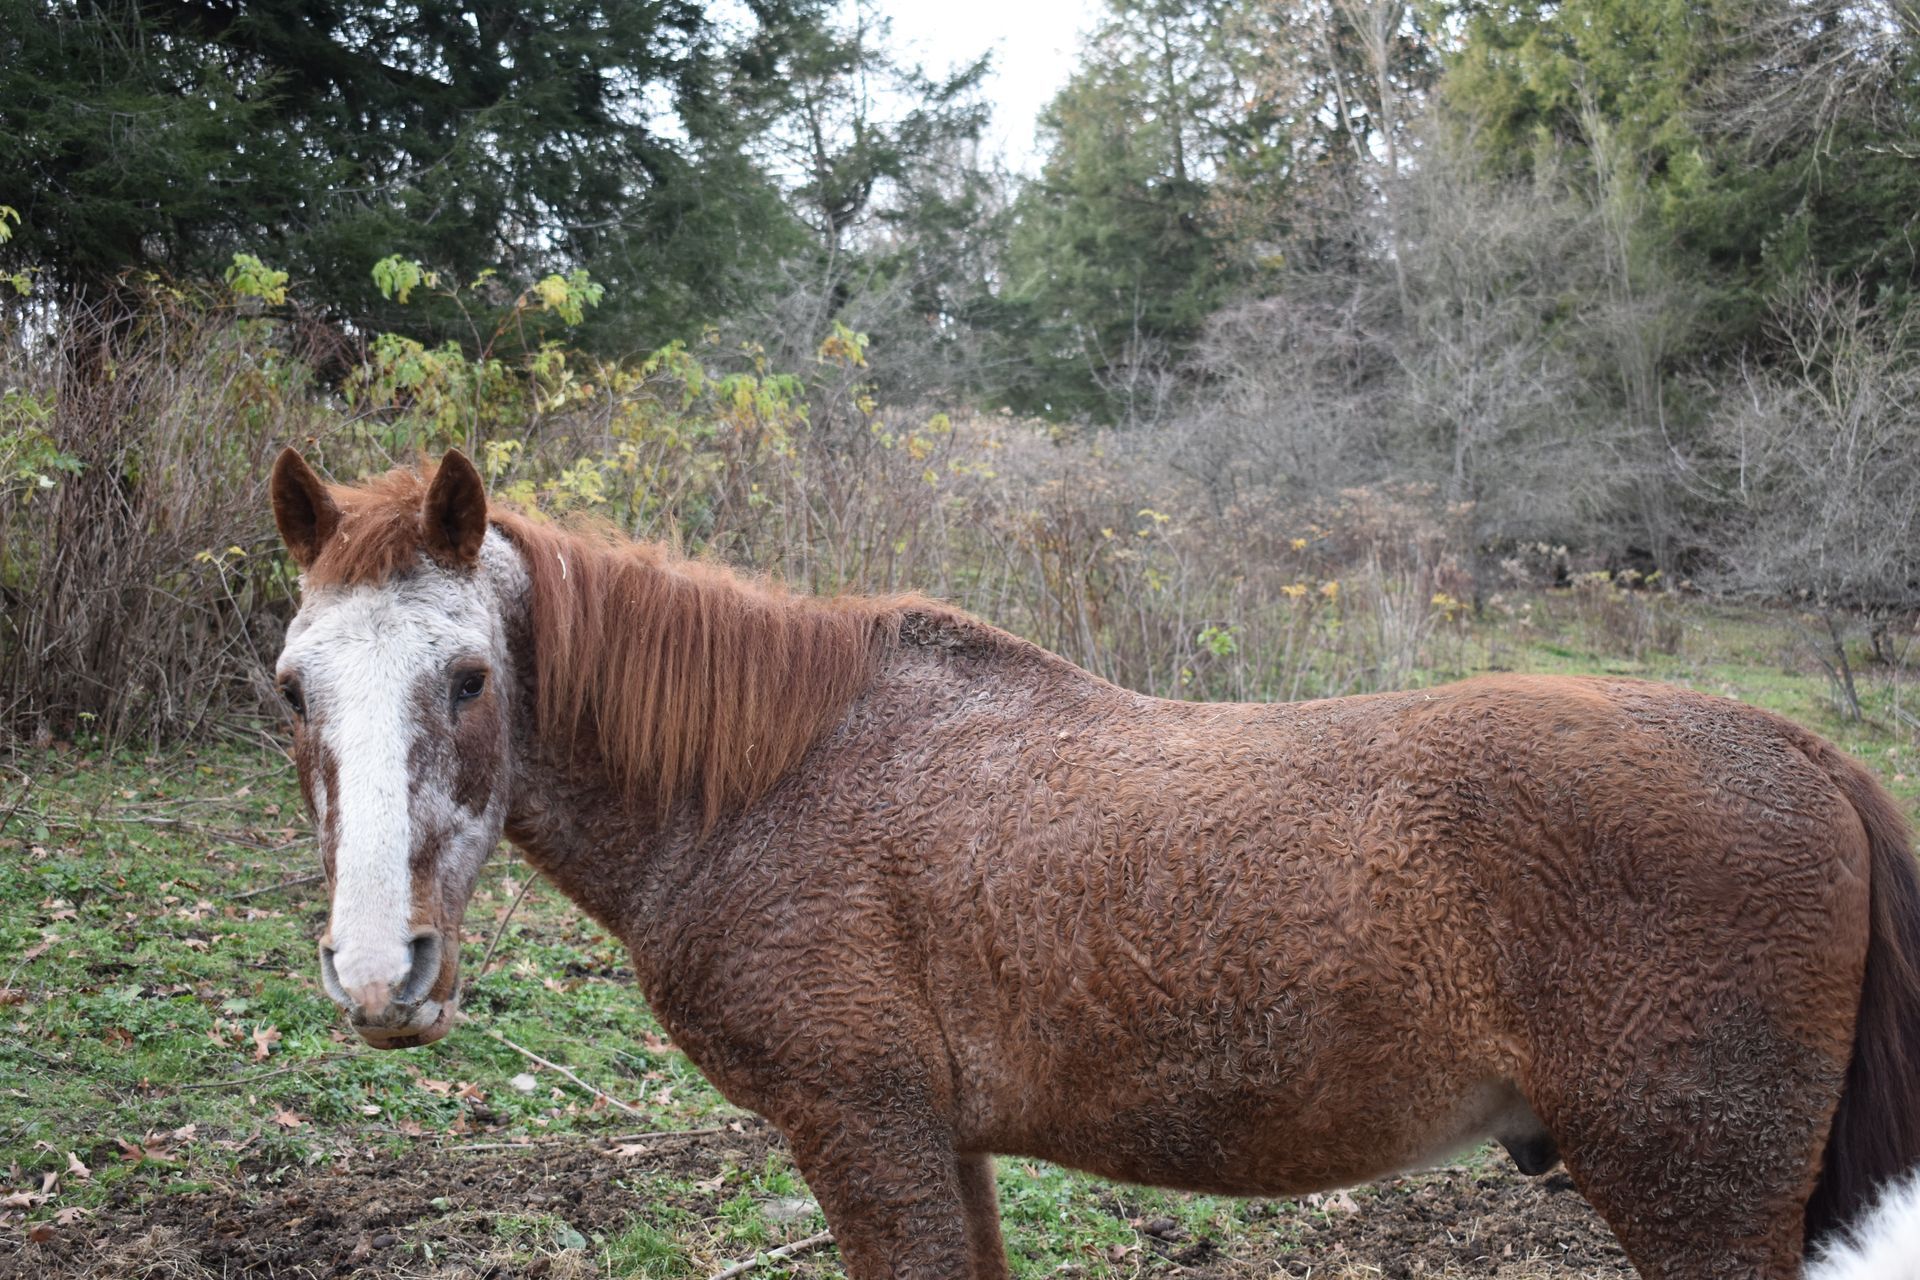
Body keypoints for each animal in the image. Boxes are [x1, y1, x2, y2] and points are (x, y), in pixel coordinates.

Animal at [266, 449, 1920, 1274]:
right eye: (292, 687)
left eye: (468, 677)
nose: (379, 973)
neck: (766, 787)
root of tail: (1804, 757)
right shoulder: (941, 1143)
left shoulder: (863, 1135)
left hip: (1695, 1193)